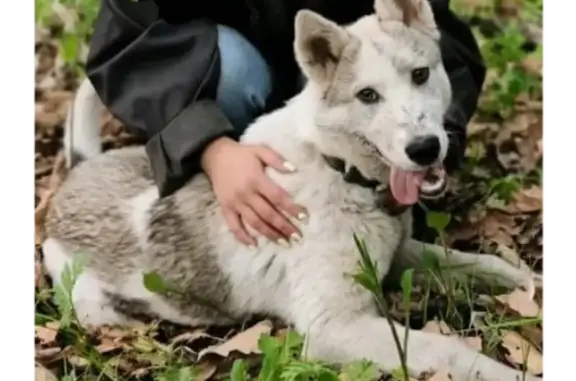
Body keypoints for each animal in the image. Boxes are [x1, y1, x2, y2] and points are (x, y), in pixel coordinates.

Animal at [44, 1, 544, 378]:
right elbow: (449, 350)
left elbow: (493, 265)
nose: (424, 149)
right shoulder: (334, 327)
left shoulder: (402, 255)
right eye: (367, 96)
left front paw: (538, 287)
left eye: (420, 75)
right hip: (91, 303)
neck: (337, 167)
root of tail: (77, 172)